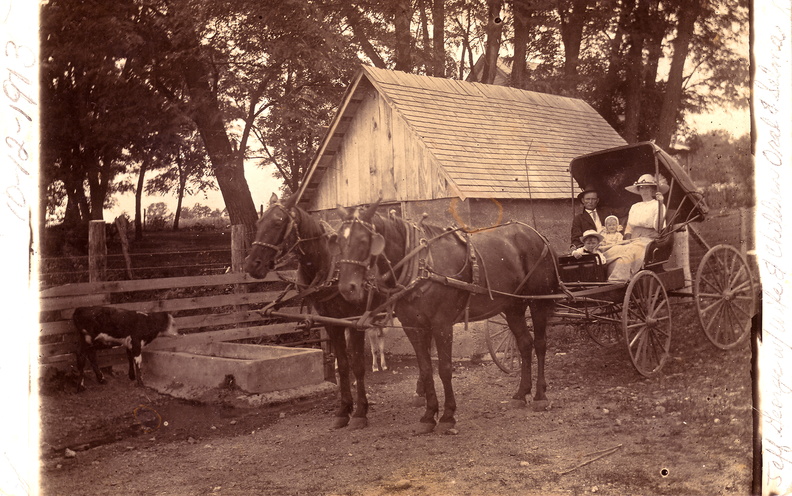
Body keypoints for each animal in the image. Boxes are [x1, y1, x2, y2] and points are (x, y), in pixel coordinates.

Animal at [243, 194, 376, 430]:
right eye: (259, 223)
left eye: (278, 222)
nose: (251, 265)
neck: (330, 268)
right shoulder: (332, 323)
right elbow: (343, 366)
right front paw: (343, 410)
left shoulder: (355, 322)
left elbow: (358, 365)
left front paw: (360, 412)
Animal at [334, 202, 556, 434]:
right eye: (338, 240)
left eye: (363, 240)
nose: (347, 288)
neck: (422, 266)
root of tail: (536, 234)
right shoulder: (413, 326)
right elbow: (425, 369)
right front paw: (429, 415)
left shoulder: (442, 325)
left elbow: (445, 369)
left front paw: (448, 416)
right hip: (513, 306)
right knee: (524, 344)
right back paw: (521, 394)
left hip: (538, 301)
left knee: (540, 344)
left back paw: (540, 396)